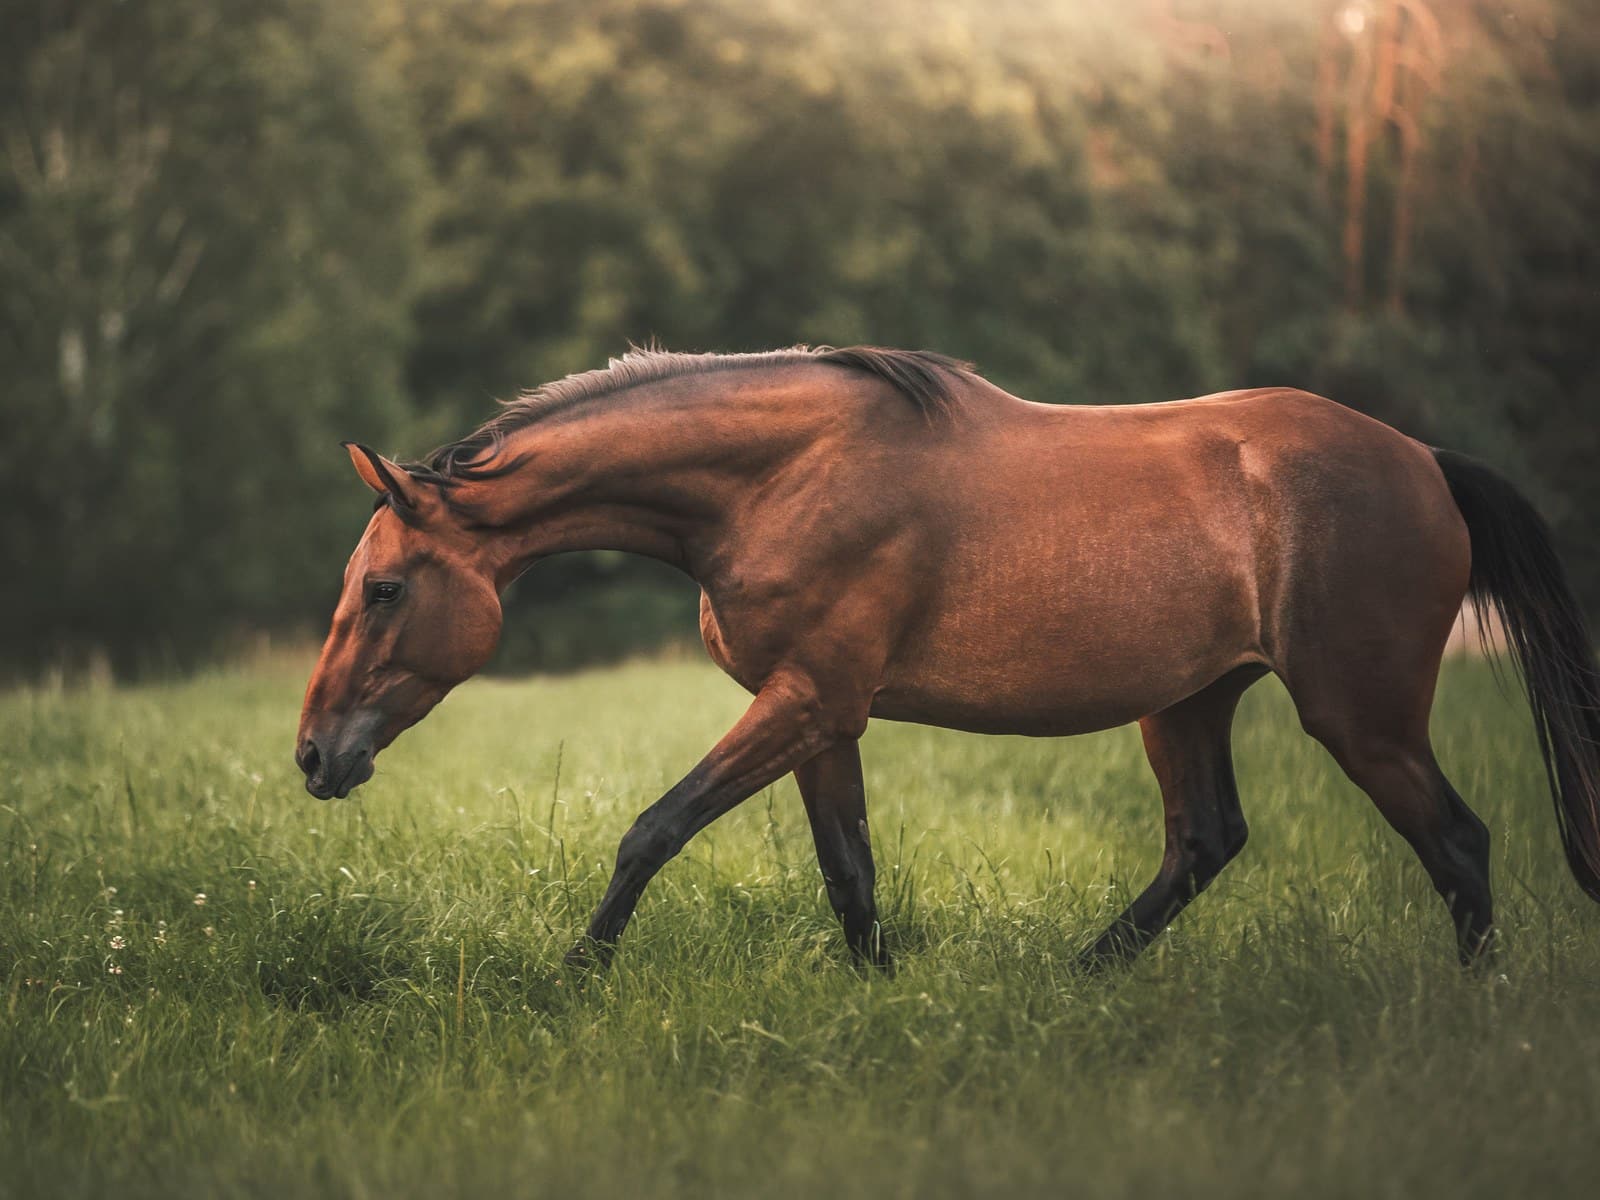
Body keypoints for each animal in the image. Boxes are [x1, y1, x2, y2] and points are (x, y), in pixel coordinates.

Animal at [295, 346, 1600, 971]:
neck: (779, 478)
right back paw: (1076, 983)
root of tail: (1427, 461)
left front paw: (575, 974)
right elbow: (849, 874)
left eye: (385, 587)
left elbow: (652, 830)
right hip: (1188, 701)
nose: (313, 756)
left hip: (1358, 715)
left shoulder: (806, 699)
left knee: (1458, 846)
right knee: (1204, 843)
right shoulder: (823, 714)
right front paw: (881, 1001)